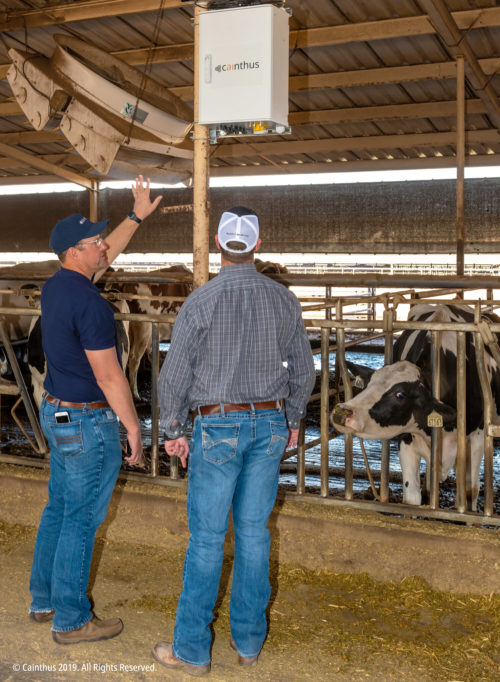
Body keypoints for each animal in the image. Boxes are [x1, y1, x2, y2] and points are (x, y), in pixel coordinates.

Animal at [332, 304, 500, 510]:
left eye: (400, 395)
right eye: (369, 383)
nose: (341, 411)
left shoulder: (476, 438)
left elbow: (470, 492)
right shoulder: (407, 439)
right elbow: (411, 498)